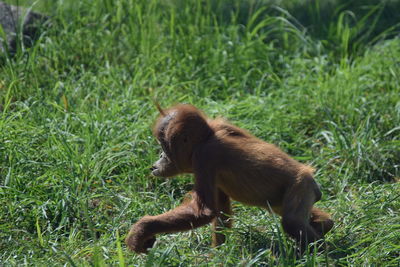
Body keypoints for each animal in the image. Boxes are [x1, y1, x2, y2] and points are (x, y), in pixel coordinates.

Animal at [126, 103, 334, 254]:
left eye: (163, 147)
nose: (159, 157)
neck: (207, 137)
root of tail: (310, 177)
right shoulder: (220, 127)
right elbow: (220, 208)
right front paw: (219, 254)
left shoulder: (204, 157)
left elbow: (205, 211)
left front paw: (143, 229)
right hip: (293, 195)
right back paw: (325, 224)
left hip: (300, 185)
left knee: (291, 221)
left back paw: (320, 252)